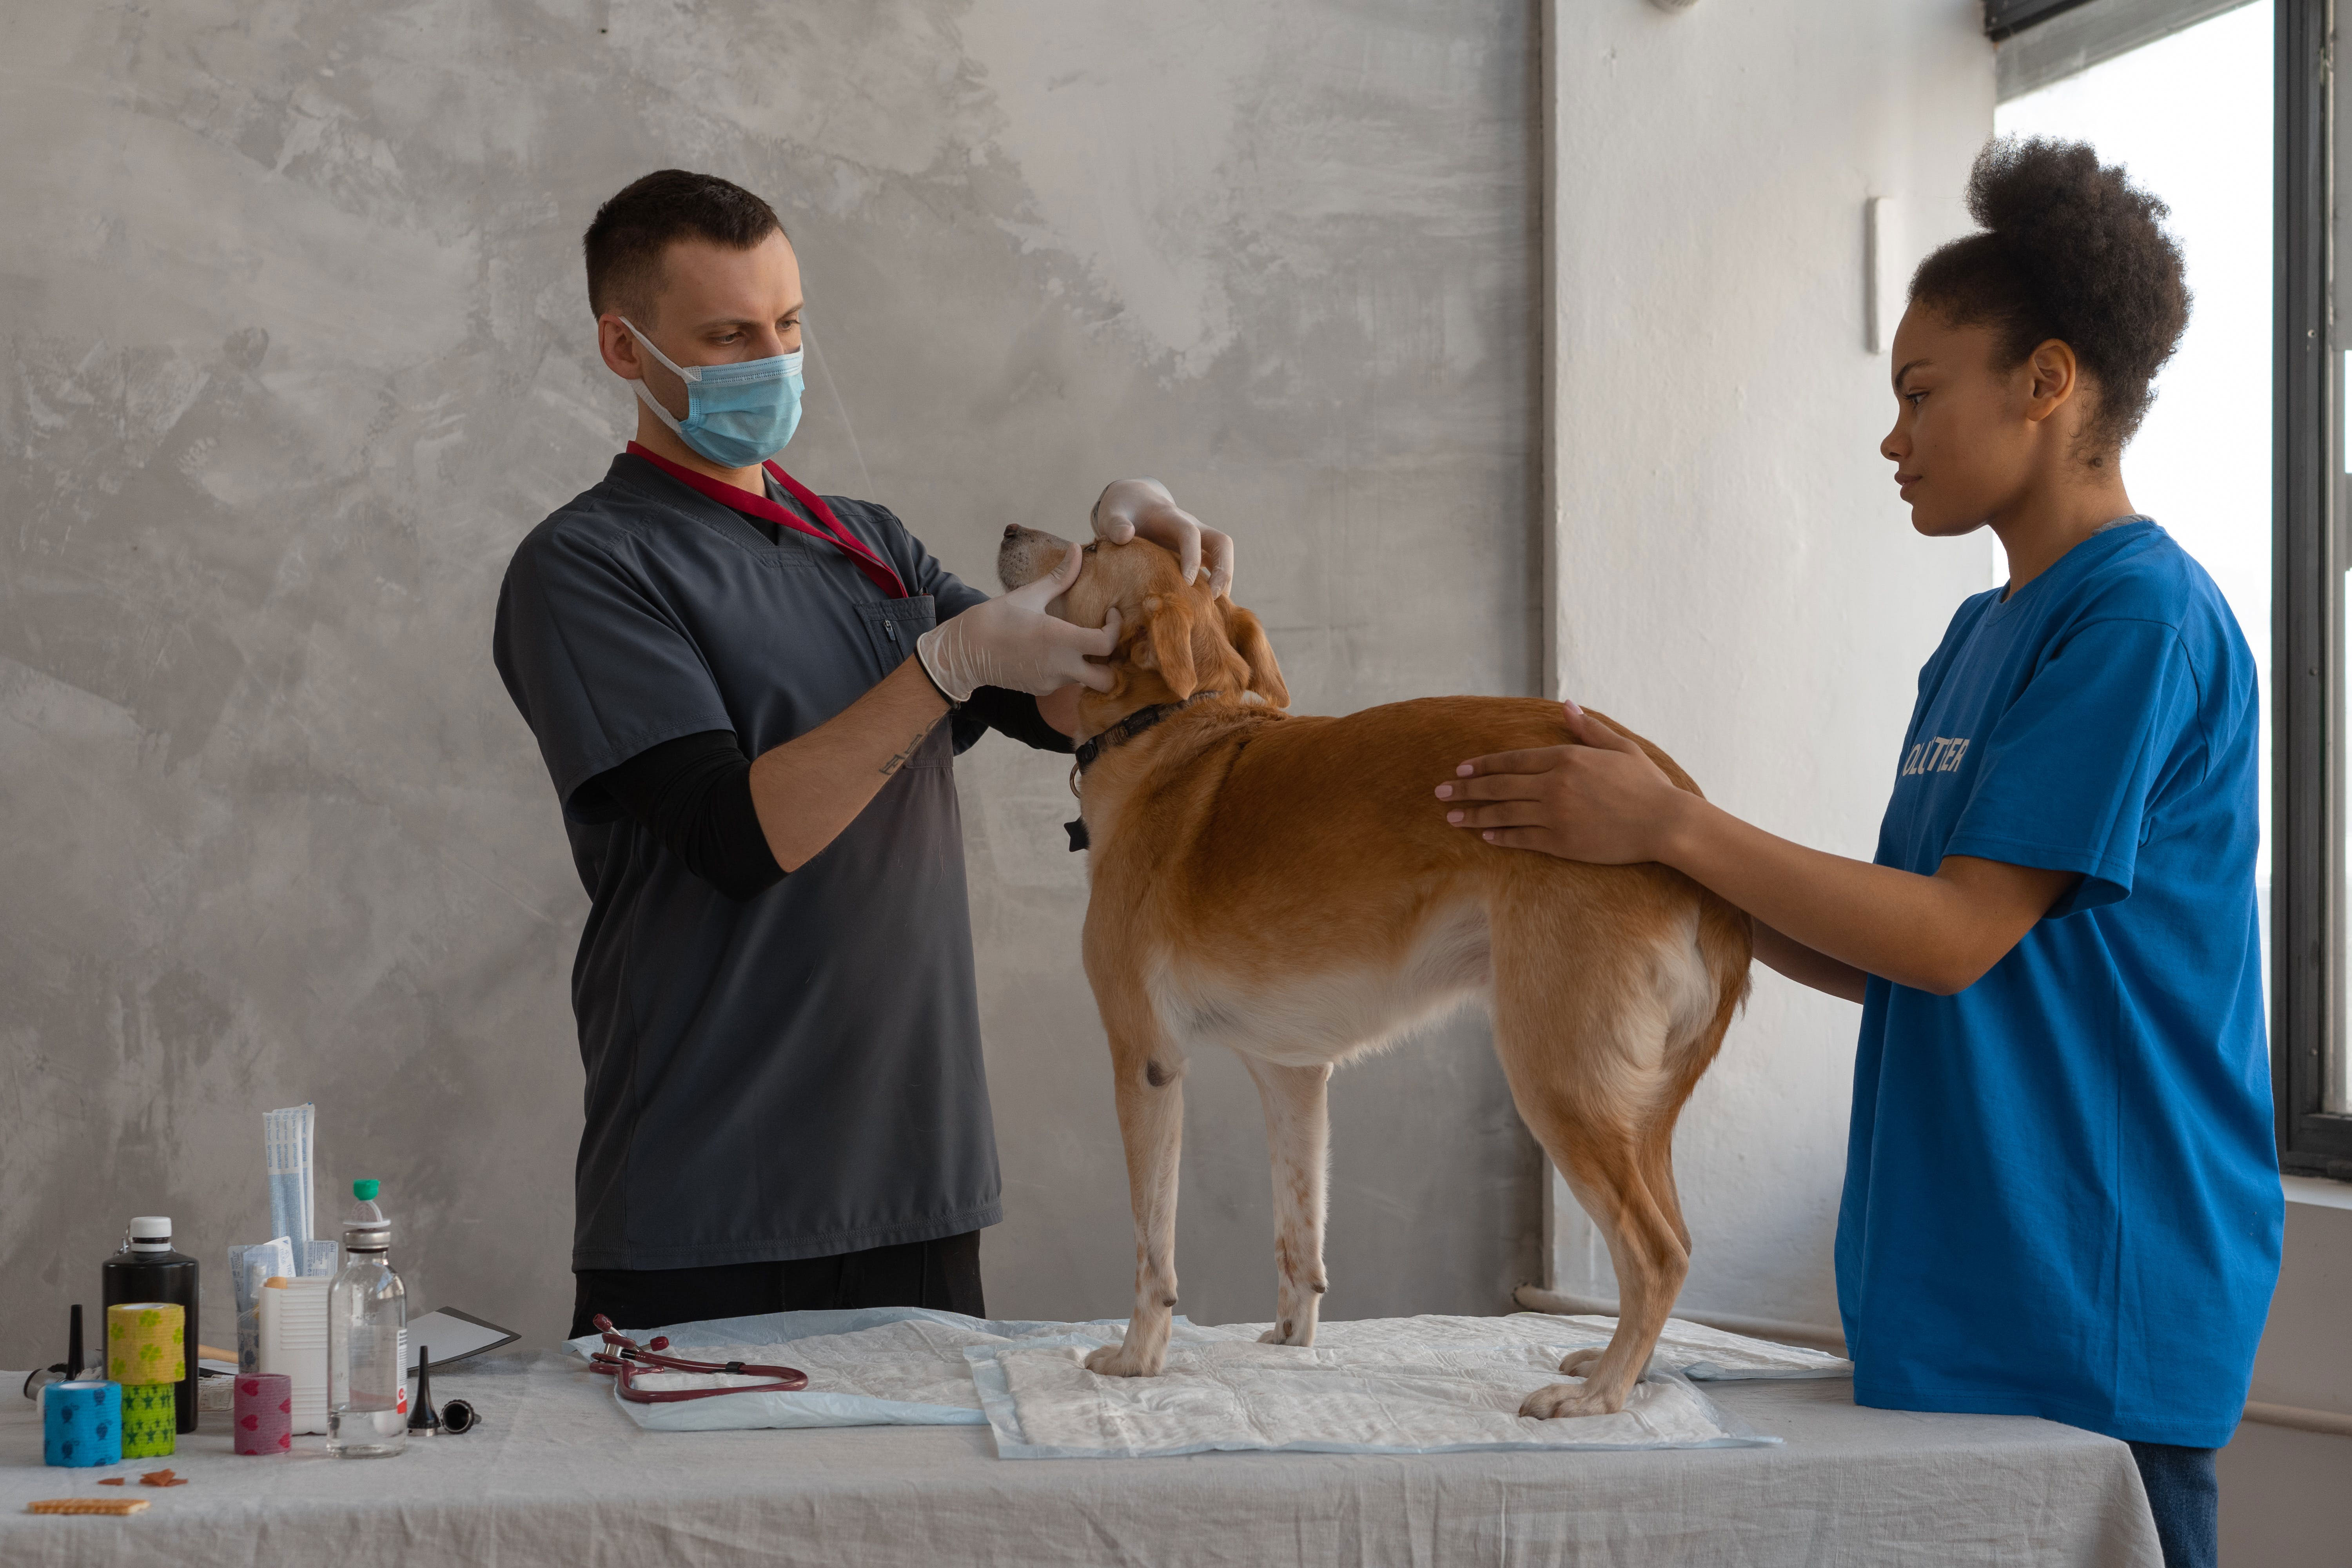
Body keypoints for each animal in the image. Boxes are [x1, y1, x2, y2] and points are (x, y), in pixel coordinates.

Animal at [1002, 522, 1759, 1420]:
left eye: (1089, 545)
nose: (1009, 533)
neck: (1175, 733)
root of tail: (1680, 805)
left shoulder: (1145, 1062)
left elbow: (1153, 1246)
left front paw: (1137, 1356)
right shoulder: (1293, 1076)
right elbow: (1299, 1236)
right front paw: (1290, 1345)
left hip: (1559, 1075)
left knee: (1656, 1253)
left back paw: (1600, 1394)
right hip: (1632, 1105)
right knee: (1676, 1239)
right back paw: (1623, 1369)